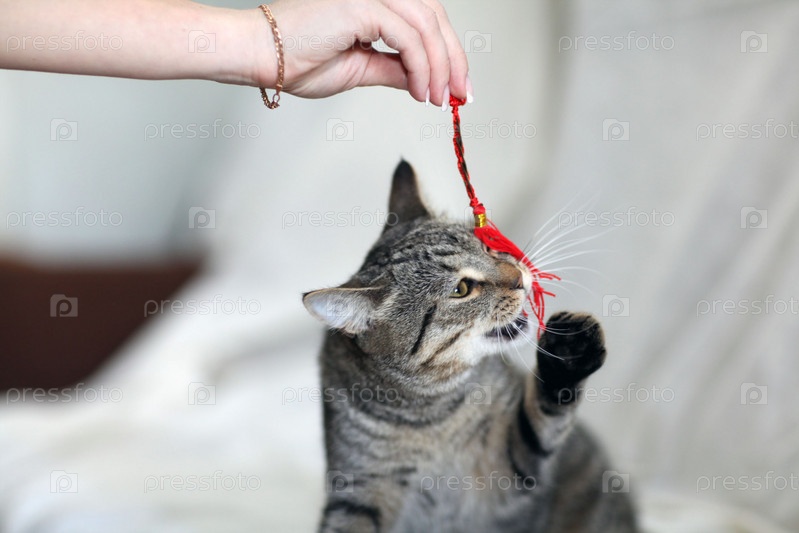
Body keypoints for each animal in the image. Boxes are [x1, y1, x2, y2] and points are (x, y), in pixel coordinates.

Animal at [302, 161, 637, 532]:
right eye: (461, 288)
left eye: (488, 247)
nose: (519, 277)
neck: (429, 413)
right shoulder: (357, 490)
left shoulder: (508, 472)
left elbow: (541, 423)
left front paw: (567, 355)